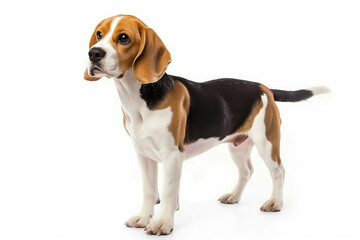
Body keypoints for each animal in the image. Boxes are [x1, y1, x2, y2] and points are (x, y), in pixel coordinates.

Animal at [84, 14, 330, 234]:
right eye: (99, 35)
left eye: (124, 38)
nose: (93, 53)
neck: (138, 99)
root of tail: (263, 87)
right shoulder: (143, 154)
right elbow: (148, 190)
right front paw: (144, 218)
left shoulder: (172, 156)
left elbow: (168, 191)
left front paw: (163, 223)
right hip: (237, 145)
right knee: (247, 171)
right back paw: (234, 196)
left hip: (267, 143)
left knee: (279, 171)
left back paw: (275, 202)